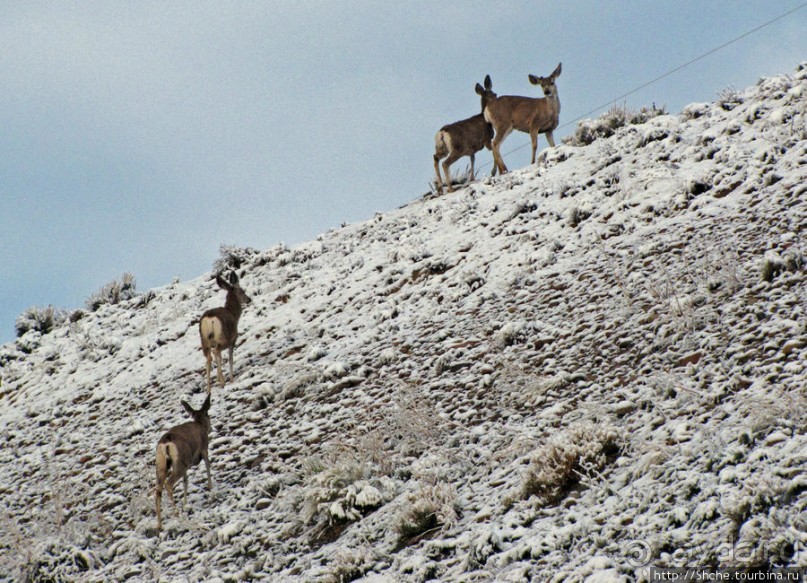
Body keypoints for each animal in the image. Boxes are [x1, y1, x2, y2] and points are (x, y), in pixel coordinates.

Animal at [155, 394, 211, 532]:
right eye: (208, 414)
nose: (210, 428)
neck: (200, 425)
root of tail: (166, 443)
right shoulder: (204, 449)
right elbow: (208, 466)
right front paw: (210, 487)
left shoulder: (187, 466)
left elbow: (186, 482)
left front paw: (185, 503)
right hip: (179, 463)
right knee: (169, 484)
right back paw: (175, 513)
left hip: (162, 465)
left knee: (157, 490)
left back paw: (159, 525)